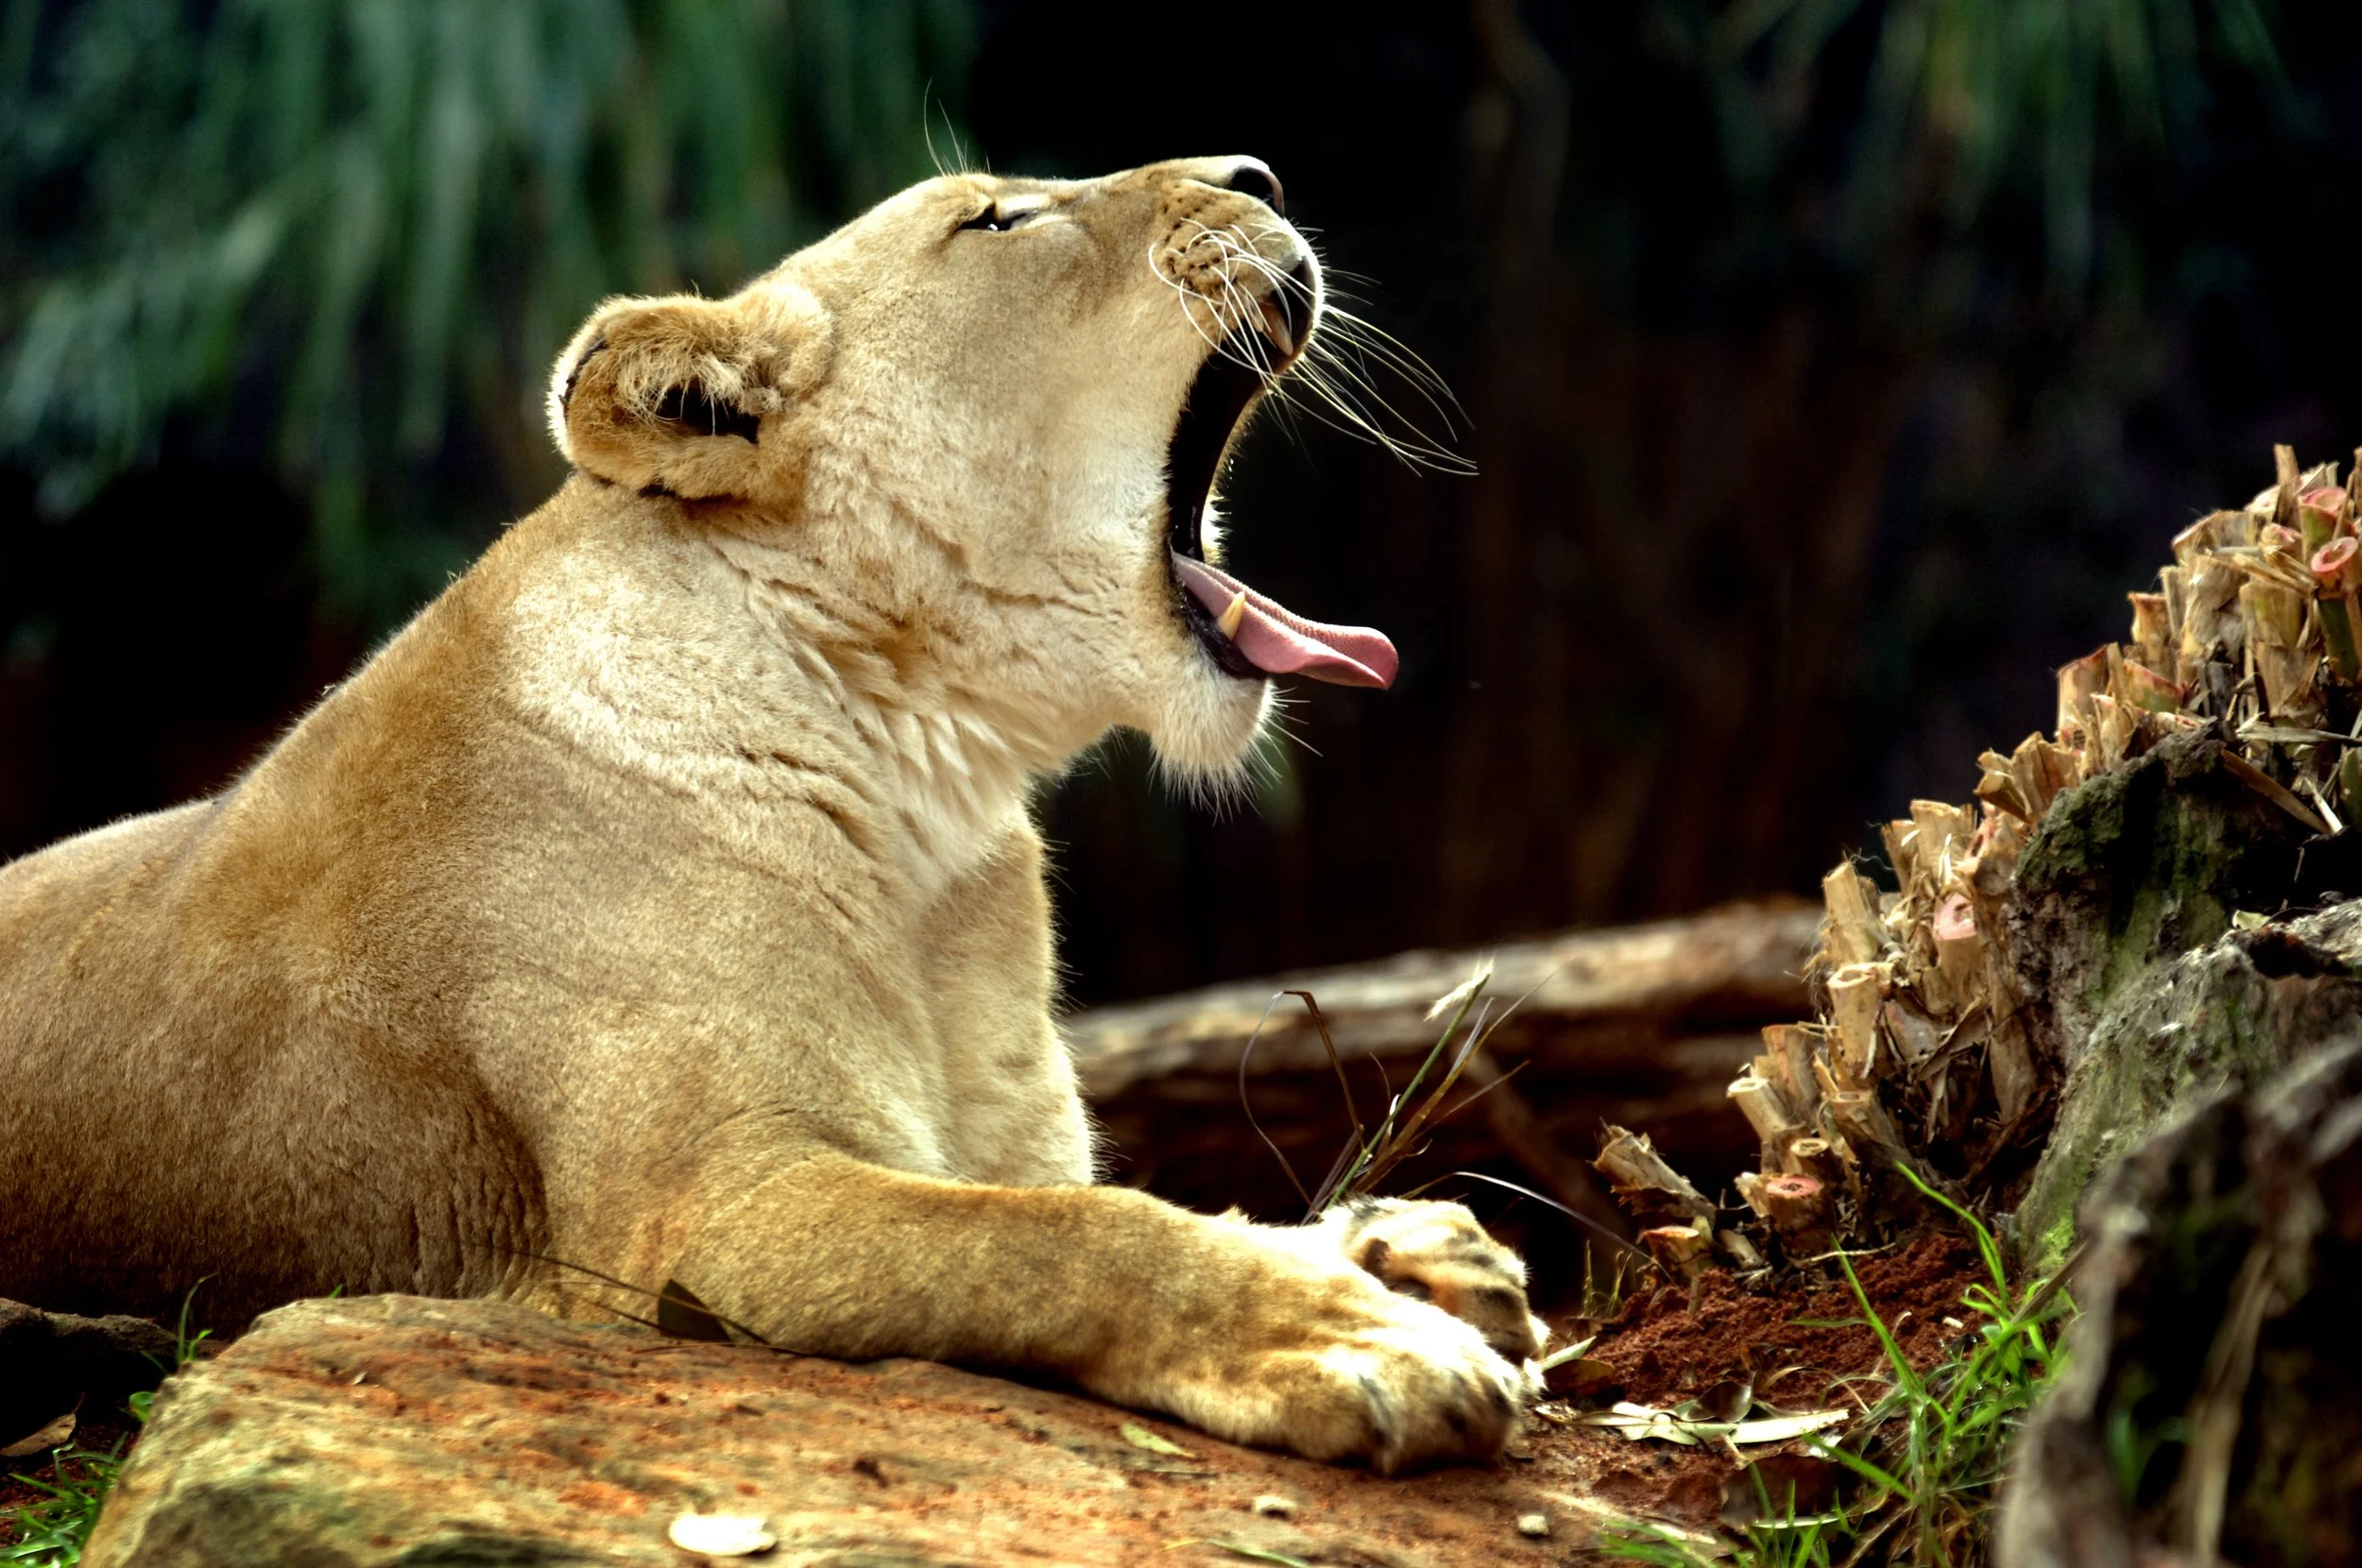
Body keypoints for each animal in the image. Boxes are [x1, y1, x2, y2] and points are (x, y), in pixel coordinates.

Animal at [0, 157, 1545, 1471]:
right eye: (997, 218)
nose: (1262, 177)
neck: (932, 808)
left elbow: (1111, 1197)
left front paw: (1406, 1247)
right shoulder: (697, 1217)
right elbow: (1067, 1235)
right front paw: (1359, 1335)